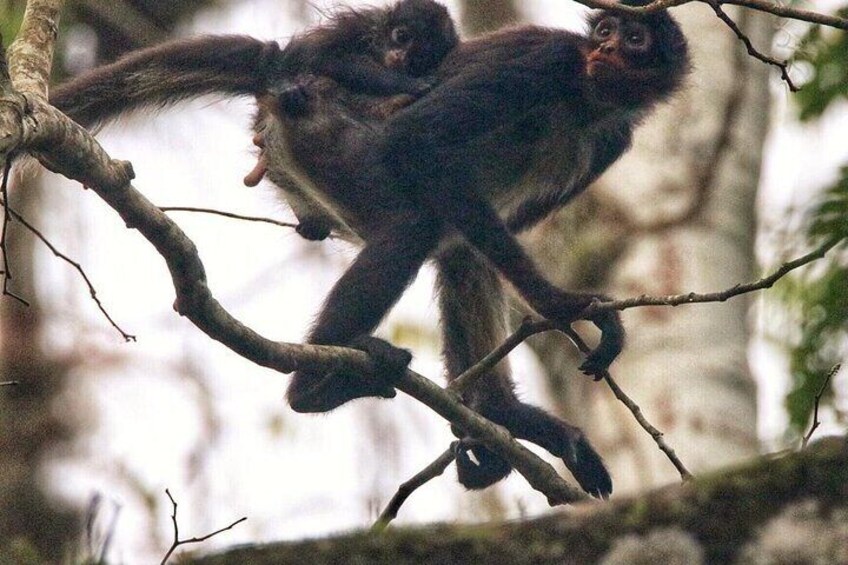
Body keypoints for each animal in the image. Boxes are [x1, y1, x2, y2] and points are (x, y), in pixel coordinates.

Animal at [51, 0, 688, 496]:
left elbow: (466, 248)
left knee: (454, 243)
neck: (584, 95)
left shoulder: (614, 135)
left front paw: (511, 409)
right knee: (414, 224)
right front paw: (563, 307)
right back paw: (311, 390)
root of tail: (287, 81)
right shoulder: (545, 55)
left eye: (633, 38)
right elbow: (418, 141)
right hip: (331, 137)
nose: (606, 46)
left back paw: (500, 416)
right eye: (605, 30)